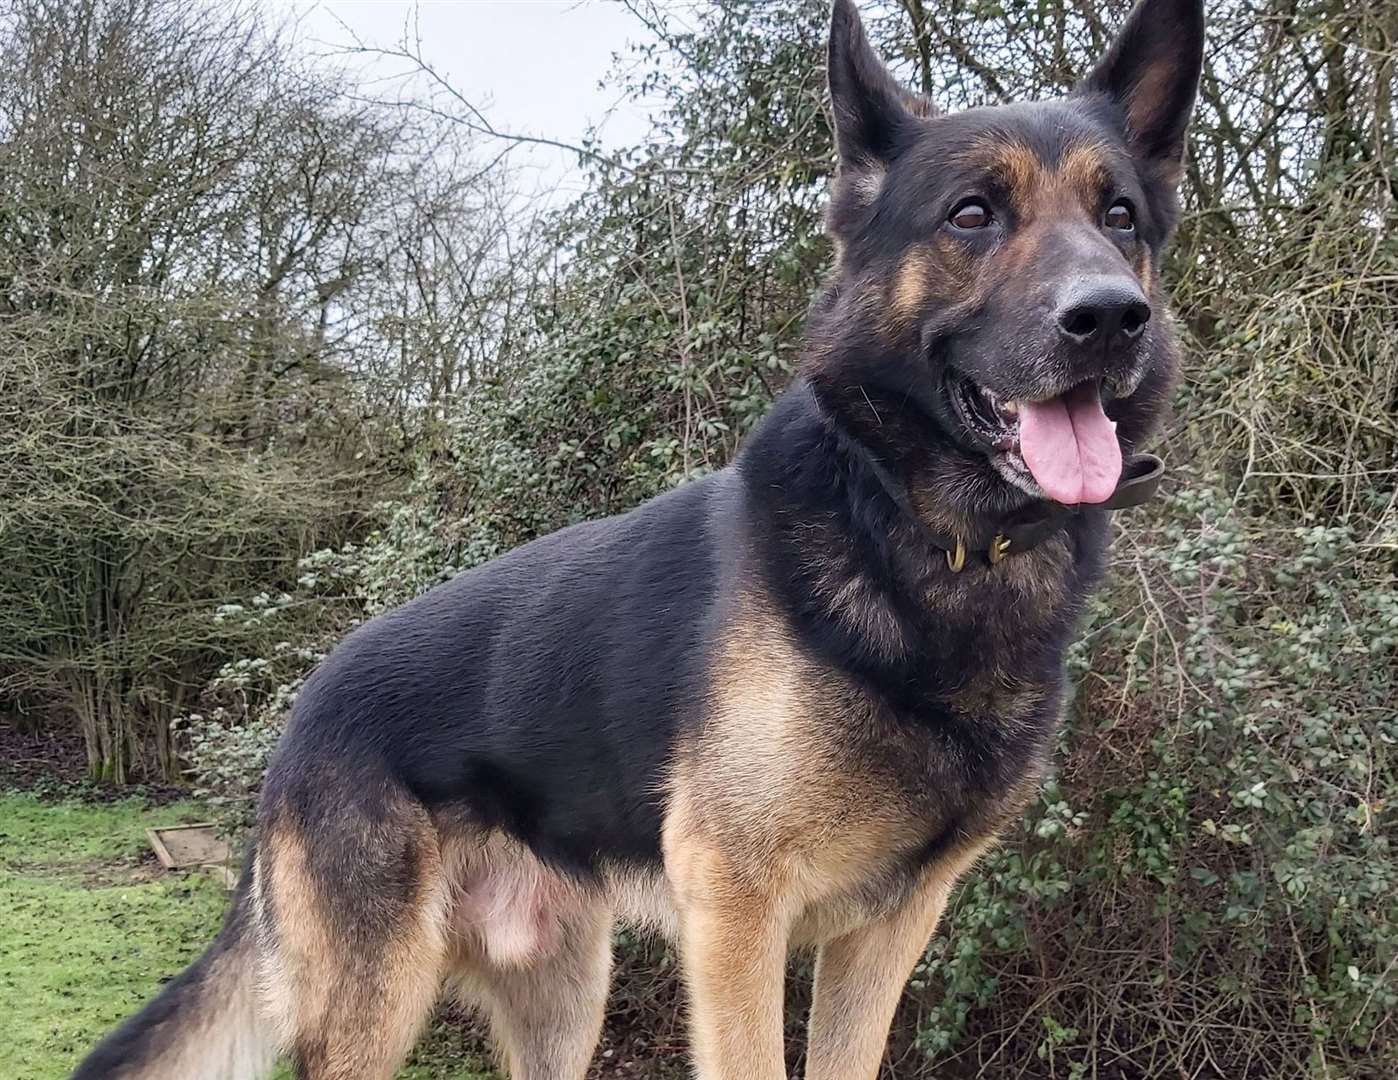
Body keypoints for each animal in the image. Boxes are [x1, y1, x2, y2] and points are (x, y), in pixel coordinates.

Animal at [73, 2, 1202, 1078]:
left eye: (1119, 216)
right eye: (972, 214)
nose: (1111, 318)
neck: (915, 532)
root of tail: (306, 708)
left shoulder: (887, 933)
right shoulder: (738, 913)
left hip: (567, 1003)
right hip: (375, 1004)